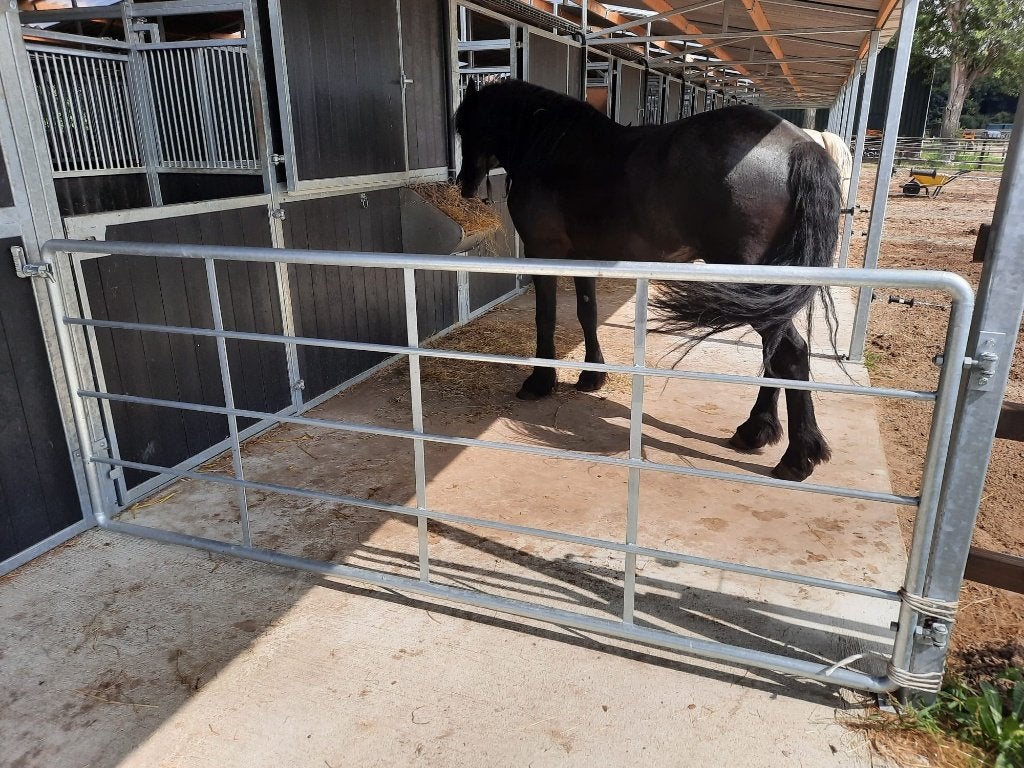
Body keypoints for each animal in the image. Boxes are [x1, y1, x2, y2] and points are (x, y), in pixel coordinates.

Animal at [454, 79, 840, 482]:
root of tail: (799, 147)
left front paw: (539, 382)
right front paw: (591, 376)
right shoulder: (584, 258)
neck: (551, 146)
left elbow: (545, 317)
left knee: (790, 353)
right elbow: (587, 313)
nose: (463, 184)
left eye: (465, 127)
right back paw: (756, 430)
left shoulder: (543, 253)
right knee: (777, 350)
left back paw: (796, 457)